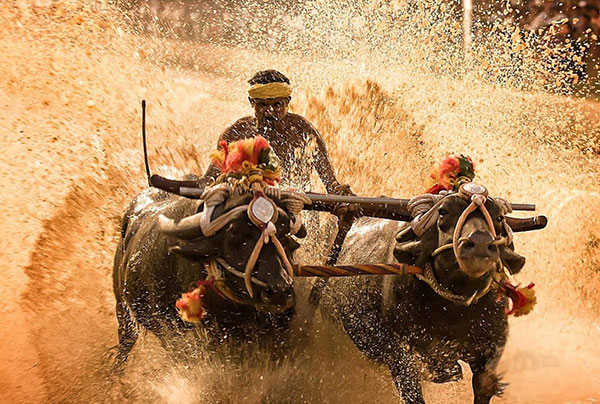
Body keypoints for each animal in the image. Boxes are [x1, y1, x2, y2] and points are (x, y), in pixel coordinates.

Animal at [318, 184, 524, 404]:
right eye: (443, 211)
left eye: (499, 217)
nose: (479, 243)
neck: (453, 309)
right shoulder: (399, 350)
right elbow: (413, 392)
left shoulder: (494, 341)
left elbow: (485, 383)